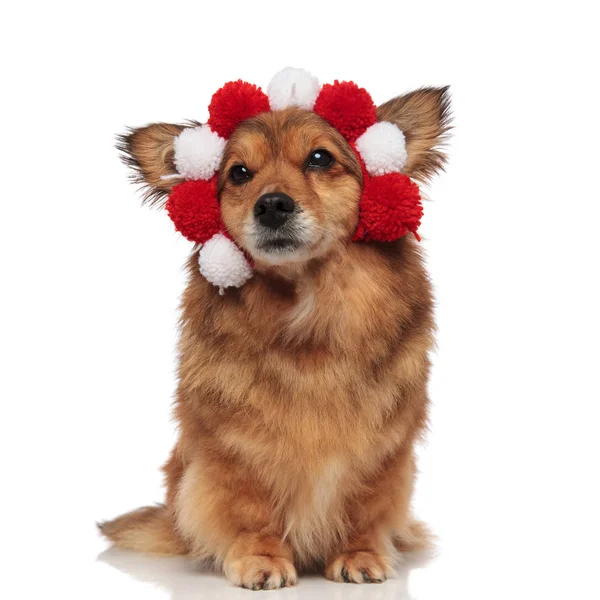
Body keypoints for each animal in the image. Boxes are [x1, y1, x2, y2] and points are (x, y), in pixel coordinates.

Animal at [101, 71, 452, 592]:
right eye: (239, 174)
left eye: (320, 159)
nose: (271, 205)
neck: (307, 315)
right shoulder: (234, 449)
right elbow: (251, 508)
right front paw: (260, 558)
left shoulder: (383, 449)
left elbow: (363, 505)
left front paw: (360, 553)